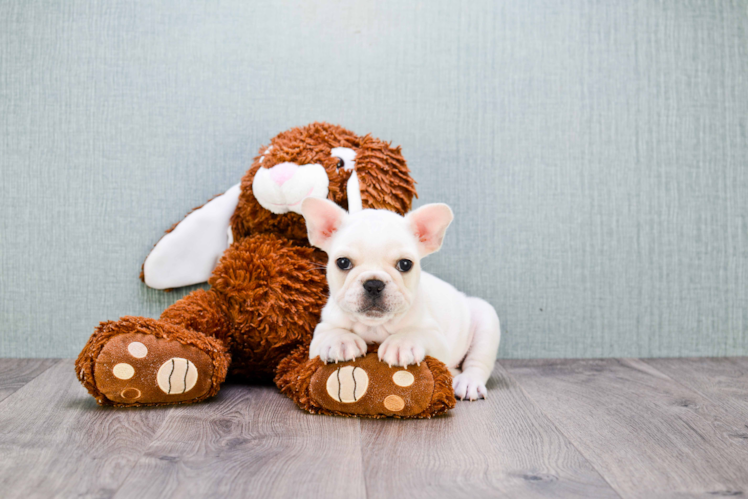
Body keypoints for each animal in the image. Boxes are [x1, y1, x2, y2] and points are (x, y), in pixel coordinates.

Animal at [300, 197, 502, 400]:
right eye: (343, 262)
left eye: (405, 264)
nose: (374, 284)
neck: (374, 326)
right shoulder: (320, 333)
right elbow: (332, 332)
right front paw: (341, 341)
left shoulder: (437, 340)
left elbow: (415, 332)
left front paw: (401, 344)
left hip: (485, 318)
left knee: (477, 363)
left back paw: (468, 382)